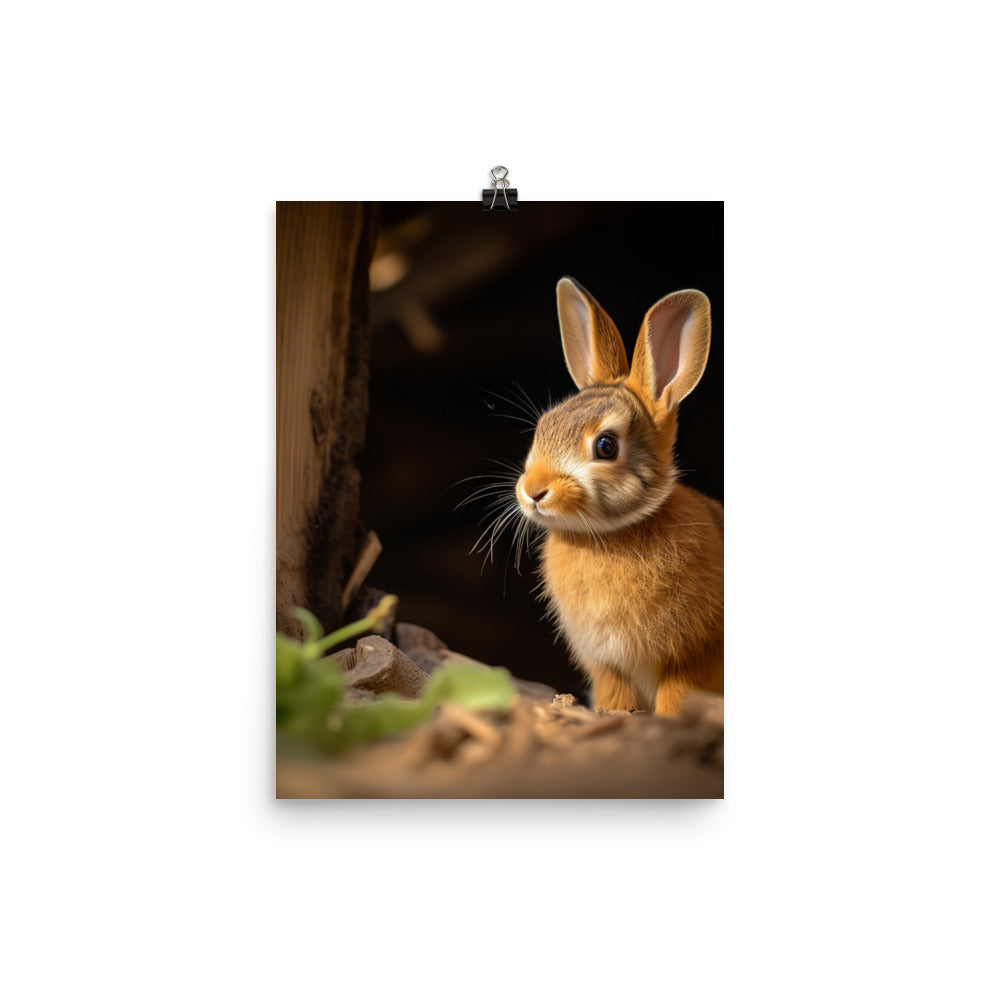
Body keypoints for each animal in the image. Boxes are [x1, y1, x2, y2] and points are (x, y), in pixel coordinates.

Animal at [515, 278, 723, 715]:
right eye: (544, 427)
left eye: (606, 446)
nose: (533, 492)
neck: (611, 535)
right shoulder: (607, 664)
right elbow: (615, 695)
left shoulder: (692, 656)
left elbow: (678, 692)